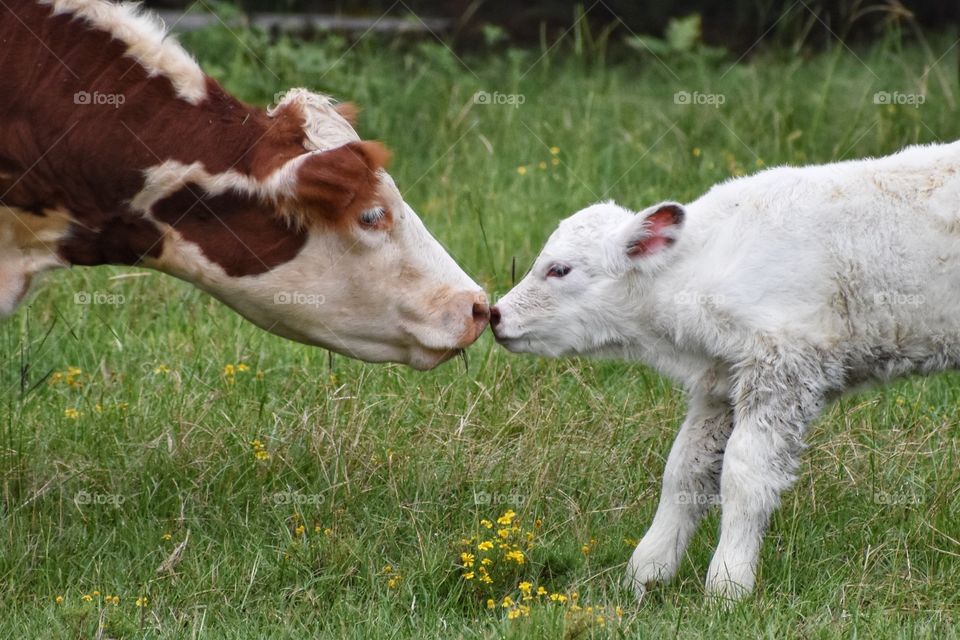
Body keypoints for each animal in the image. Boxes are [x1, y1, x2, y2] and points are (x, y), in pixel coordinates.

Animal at [489, 141, 960, 600]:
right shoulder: (721, 382)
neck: (696, 270)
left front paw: (728, 584)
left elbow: (745, 474)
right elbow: (684, 470)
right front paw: (646, 572)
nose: (495, 315)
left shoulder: (783, 367)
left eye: (559, 269)